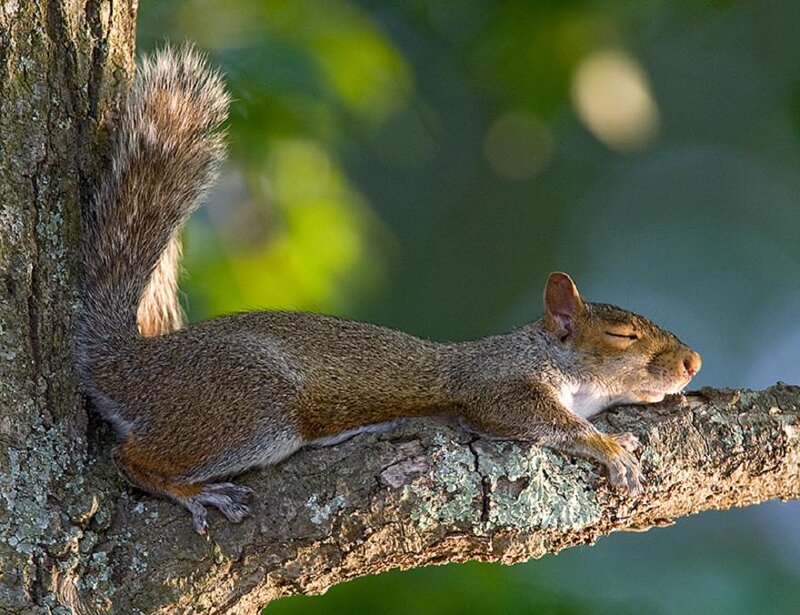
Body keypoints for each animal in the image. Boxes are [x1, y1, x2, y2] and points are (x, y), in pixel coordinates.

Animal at [77, 47, 702, 535]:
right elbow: (533, 416)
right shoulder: (495, 384)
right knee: (131, 458)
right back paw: (193, 491)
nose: (693, 363)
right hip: (249, 408)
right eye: (622, 335)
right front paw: (607, 447)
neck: (544, 354)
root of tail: (127, 365)